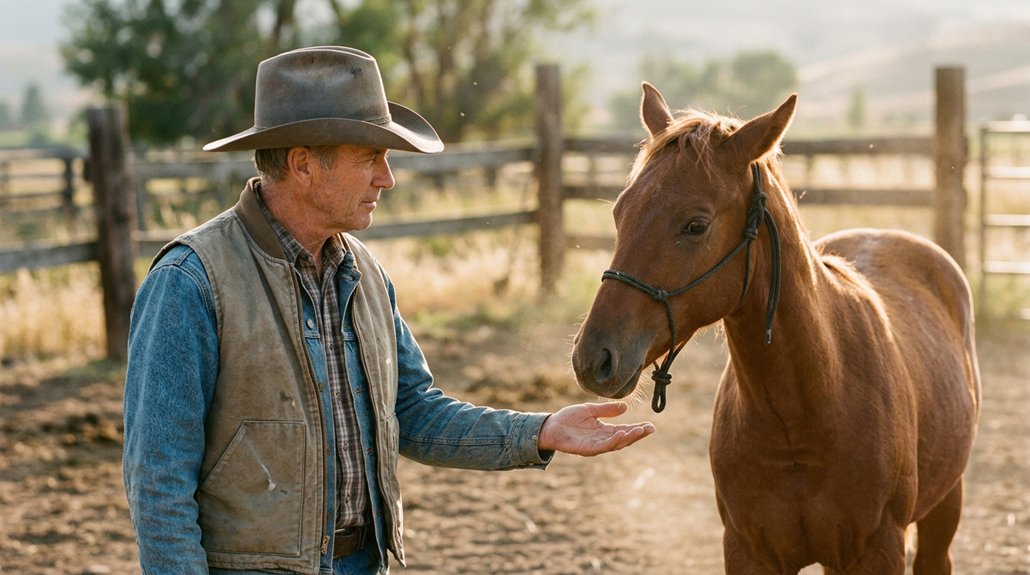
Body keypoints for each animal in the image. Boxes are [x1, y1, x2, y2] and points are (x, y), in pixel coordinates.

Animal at [571, 83, 981, 574]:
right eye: (620, 211)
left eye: (696, 224)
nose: (593, 358)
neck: (806, 409)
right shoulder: (749, 550)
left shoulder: (878, 550)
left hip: (946, 507)